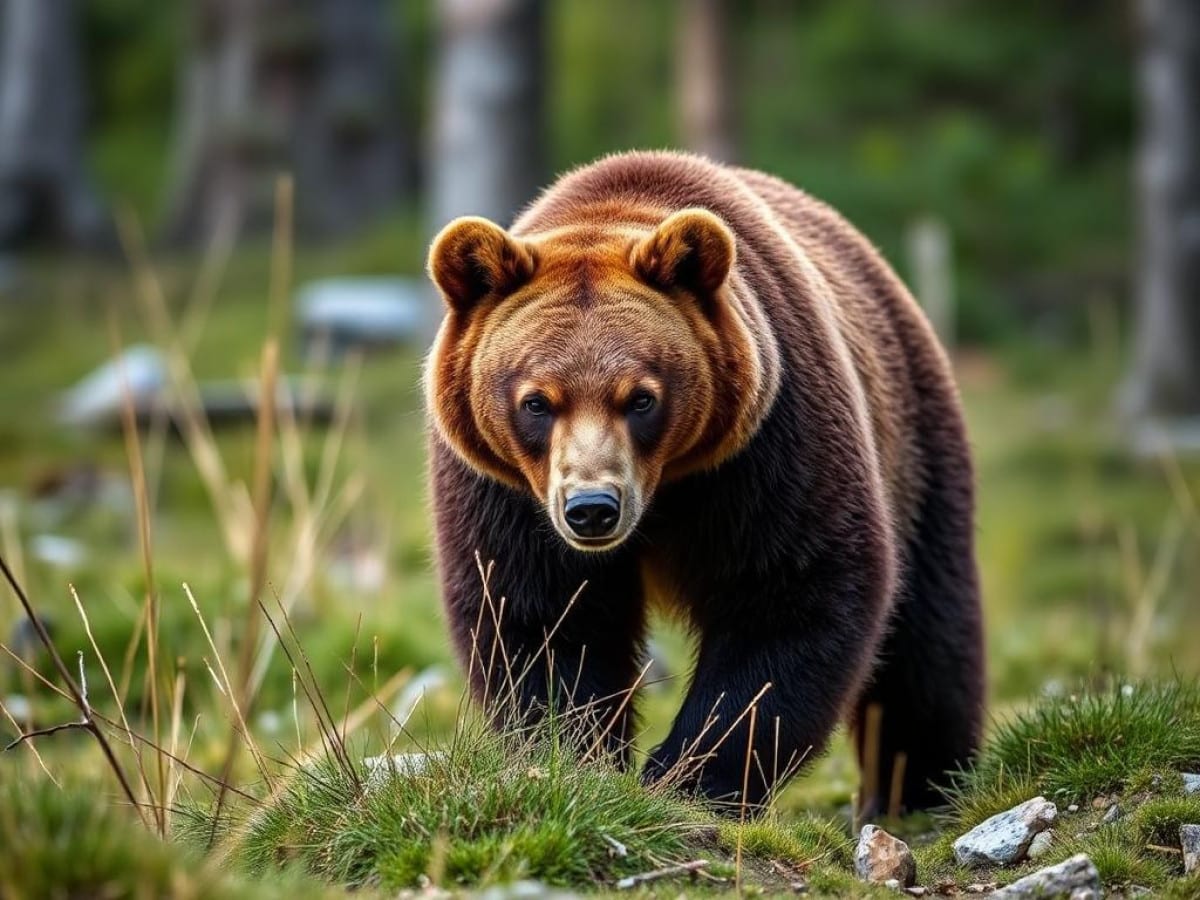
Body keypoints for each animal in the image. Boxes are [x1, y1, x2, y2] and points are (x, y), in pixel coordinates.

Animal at [424, 150, 985, 814]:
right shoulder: (502, 490)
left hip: (914, 435)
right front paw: (578, 760)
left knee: (927, 636)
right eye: (536, 401)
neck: (667, 491)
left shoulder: (769, 447)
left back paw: (918, 784)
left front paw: (689, 777)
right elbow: (539, 617)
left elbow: (789, 595)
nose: (593, 508)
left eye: (641, 397)